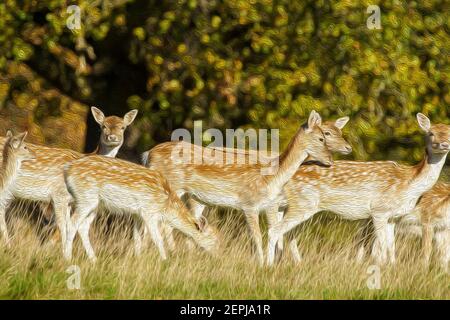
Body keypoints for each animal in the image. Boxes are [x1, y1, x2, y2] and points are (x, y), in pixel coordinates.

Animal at [62, 155, 219, 262]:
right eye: (214, 239)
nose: (219, 255)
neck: (165, 205)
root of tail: (67, 170)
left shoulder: (138, 214)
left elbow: (137, 237)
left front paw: (137, 259)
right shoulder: (149, 212)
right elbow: (157, 238)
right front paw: (164, 260)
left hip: (95, 204)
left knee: (83, 226)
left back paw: (94, 259)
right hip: (85, 198)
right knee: (72, 223)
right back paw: (68, 258)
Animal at [142, 111, 332, 264]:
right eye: (321, 138)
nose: (330, 160)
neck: (270, 178)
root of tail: (148, 154)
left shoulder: (267, 206)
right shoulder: (249, 204)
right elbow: (257, 237)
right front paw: (261, 264)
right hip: (172, 186)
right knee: (161, 223)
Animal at [268, 112, 450, 264]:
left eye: (449, 133)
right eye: (430, 133)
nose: (444, 144)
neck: (409, 182)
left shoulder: (393, 217)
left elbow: (391, 247)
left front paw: (391, 268)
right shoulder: (379, 210)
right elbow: (382, 248)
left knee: (286, 233)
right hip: (302, 203)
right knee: (276, 230)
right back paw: (270, 265)